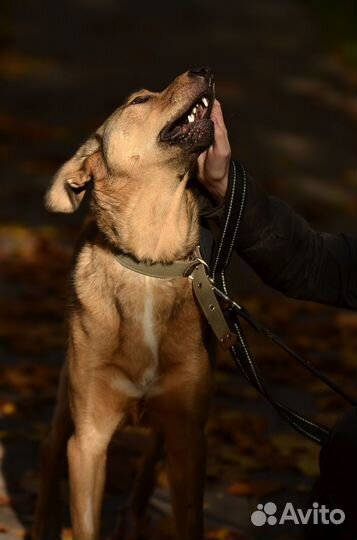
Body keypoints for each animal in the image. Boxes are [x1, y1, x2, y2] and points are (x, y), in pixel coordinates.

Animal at [33, 66, 216, 540]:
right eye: (139, 100)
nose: (203, 69)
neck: (150, 260)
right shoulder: (88, 440)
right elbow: (85, 522)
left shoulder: (190, 435)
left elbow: (191, 517)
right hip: (68, 395)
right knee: (49, 446)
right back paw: (43, 522)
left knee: (150, 460)